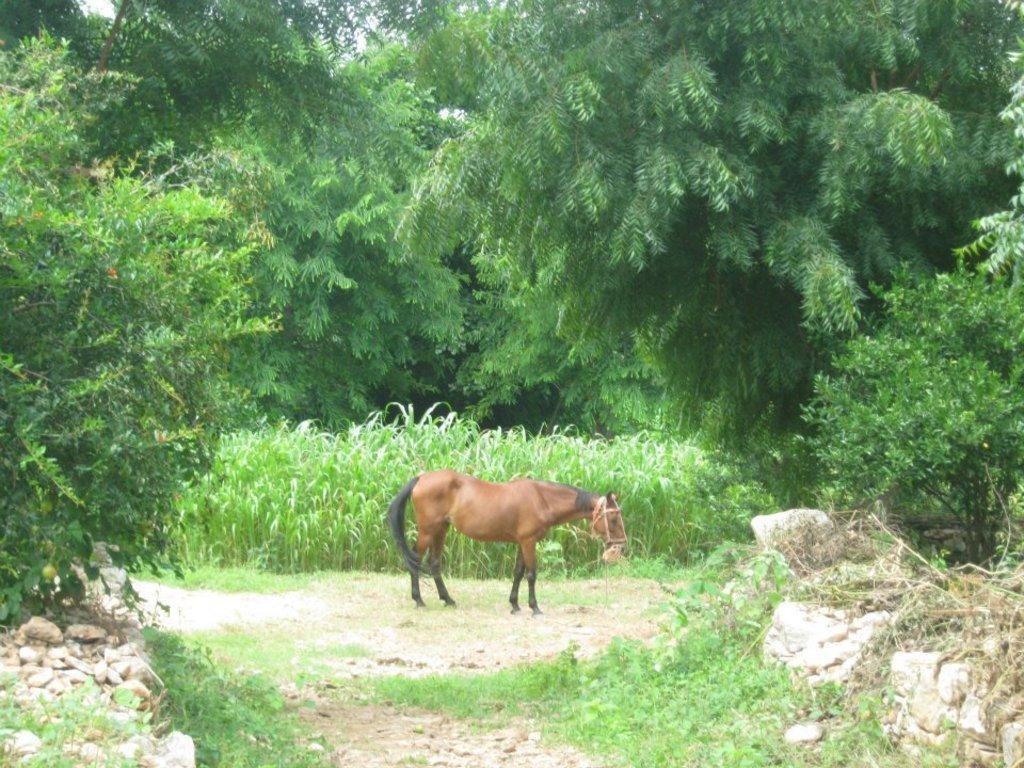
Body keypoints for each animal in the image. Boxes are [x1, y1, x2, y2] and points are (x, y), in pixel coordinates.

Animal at [385, 473, 622, 618]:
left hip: (441, 530)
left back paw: (448, 599)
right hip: (428, 531)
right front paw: (534, 607)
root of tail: (421, 478)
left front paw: (515, 605)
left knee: (434, 563)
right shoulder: (528, 542)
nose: (620, 545)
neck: (542, 499)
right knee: (415, 561)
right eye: (613, 519)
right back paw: (419, 600)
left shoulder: (522, 542)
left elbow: (518, 572)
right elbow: (531, 574)